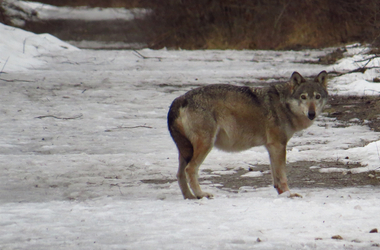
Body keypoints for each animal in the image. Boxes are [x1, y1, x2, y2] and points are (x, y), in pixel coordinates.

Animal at [168, 71, 328, 199]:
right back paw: (201, 194)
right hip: (205, 145)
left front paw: (282, 194)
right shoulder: (278, 145)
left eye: (317, 97)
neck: (284, 106)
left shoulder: (272, 147)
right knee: (190, 169)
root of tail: (180, 98)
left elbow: (276, 178)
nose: (311, 114)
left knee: (180, 174)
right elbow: (282, 176)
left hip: (186, 150)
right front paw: (289, 195)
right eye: (303, 97)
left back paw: (189, 197)